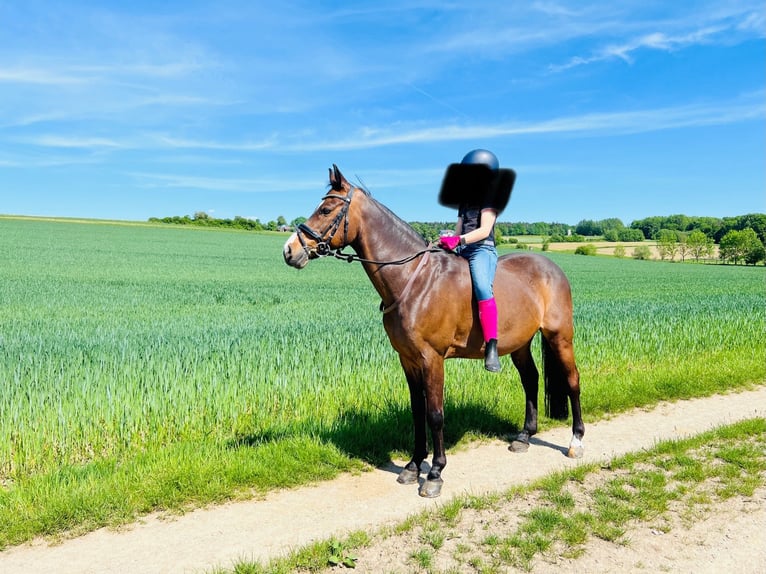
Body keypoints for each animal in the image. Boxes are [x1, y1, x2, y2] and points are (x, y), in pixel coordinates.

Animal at [284, 166, 584, 500]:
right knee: (530, 379)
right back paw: (524, 437)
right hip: (519, 343)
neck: (413, 280)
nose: (289, 251)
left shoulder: (432, 359)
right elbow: (417, 412)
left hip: (560, 337)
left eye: (325, 210)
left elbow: (435, 414)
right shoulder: (408, 359)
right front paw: (413, 466)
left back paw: (576, 441)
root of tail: (551, 267)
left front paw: (435, 474)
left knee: (572, 380)